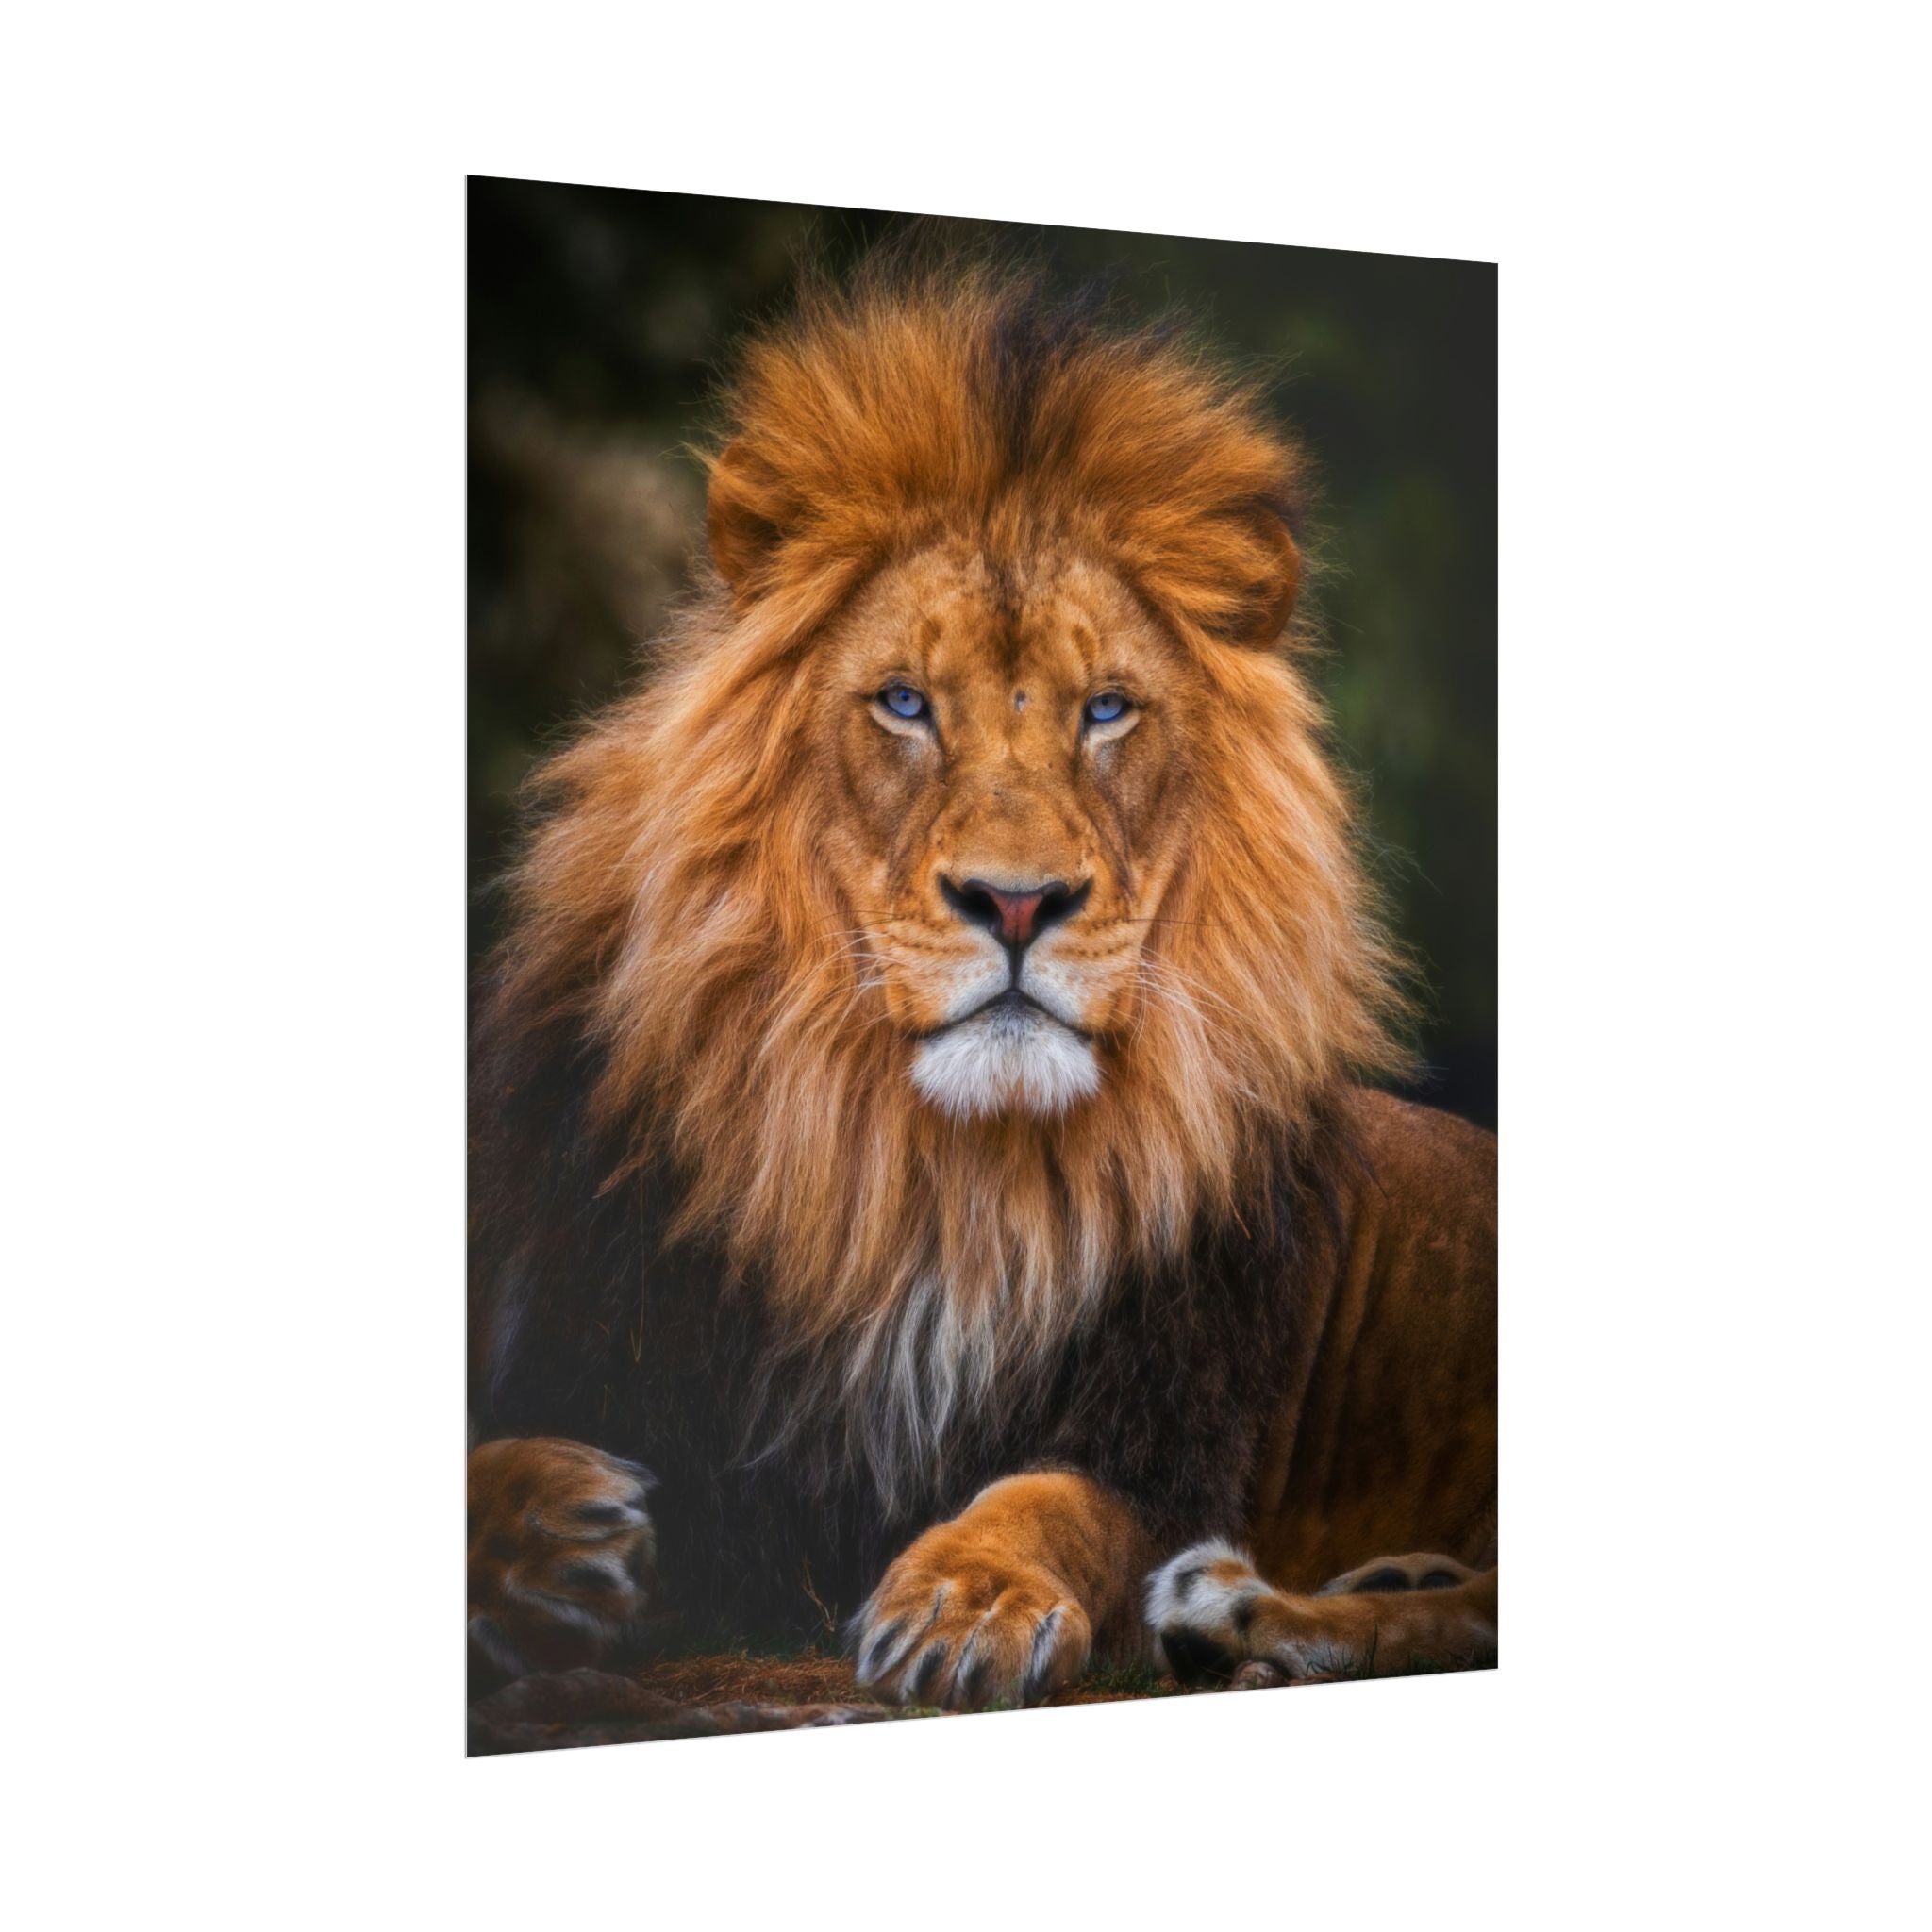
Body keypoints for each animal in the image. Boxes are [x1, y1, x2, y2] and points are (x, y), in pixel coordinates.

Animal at [467, 258, 1497, 1712]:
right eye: (904, 702)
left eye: (1106, 710)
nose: (1016, 902)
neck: (931, 1179)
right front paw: (548, 1533)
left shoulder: (1163, 1437)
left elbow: (1049, 1501)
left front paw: (969, 1597)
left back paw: (1239, 1612)